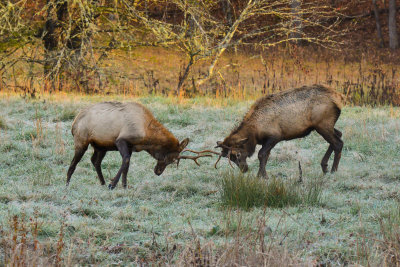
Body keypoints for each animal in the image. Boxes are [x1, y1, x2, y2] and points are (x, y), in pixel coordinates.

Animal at [66, 101, 212, 189]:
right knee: (74, 163)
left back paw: (101, 182)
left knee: (95, 161)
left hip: (101, 146)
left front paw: (124, 185)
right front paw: (113, 184)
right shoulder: (121, 140)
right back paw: (67, 184)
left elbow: (127, 165)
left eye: (173, 162)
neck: (146, 138)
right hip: (81, 140)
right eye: (168, 157)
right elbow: (126, 160)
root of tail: (74, 123)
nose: (158, 172)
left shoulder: (130, 147)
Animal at [216, 85, 344, 179]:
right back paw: (325, 167)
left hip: (323, 124)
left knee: (338, 143)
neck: (255, 133)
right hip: (325, 126)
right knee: (339, 135)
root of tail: (339, 98)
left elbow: (261, 154)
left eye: (237, 154)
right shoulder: (266, 141)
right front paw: (260, 175)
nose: (244, 169)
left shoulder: (275, 136)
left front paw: (263, 176)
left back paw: (333, 170)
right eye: (229, 158)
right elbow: (266, 156)